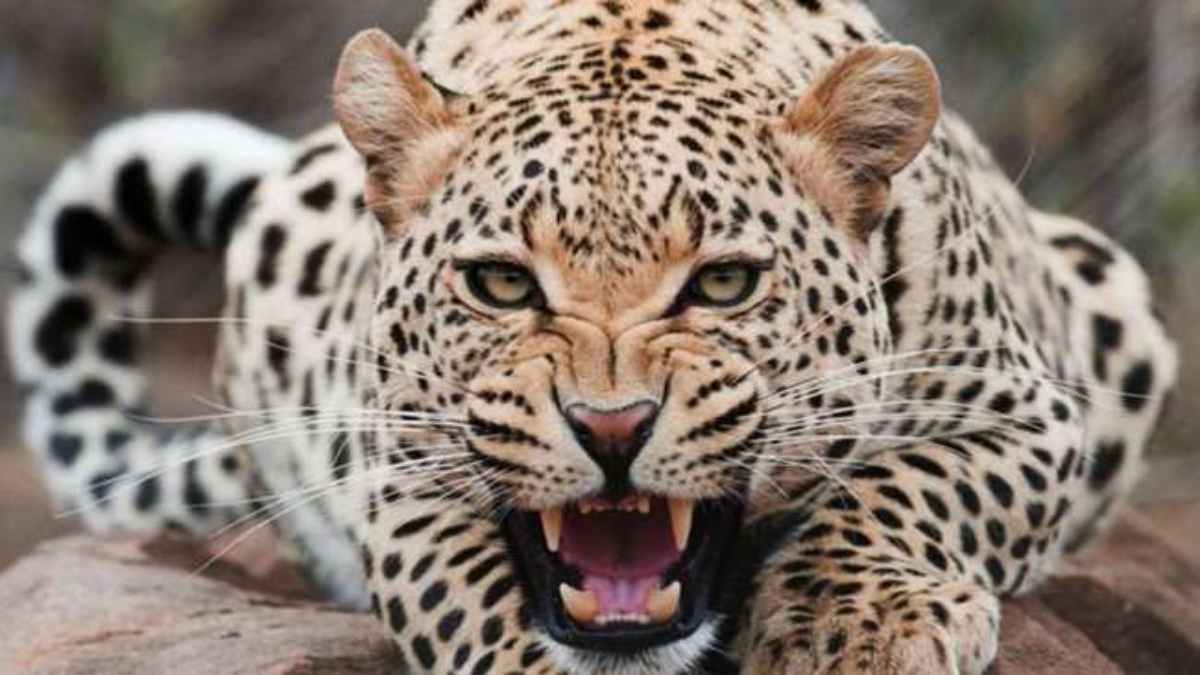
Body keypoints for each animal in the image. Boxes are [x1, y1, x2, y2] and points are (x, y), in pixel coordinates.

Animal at [8, 1, 1178, 674]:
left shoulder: (1028, 410)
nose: (612, 428)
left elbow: (913, 485)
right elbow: (481, 616)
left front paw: (862, 624)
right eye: (498, 282)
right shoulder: (400, 481)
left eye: (724, 282)